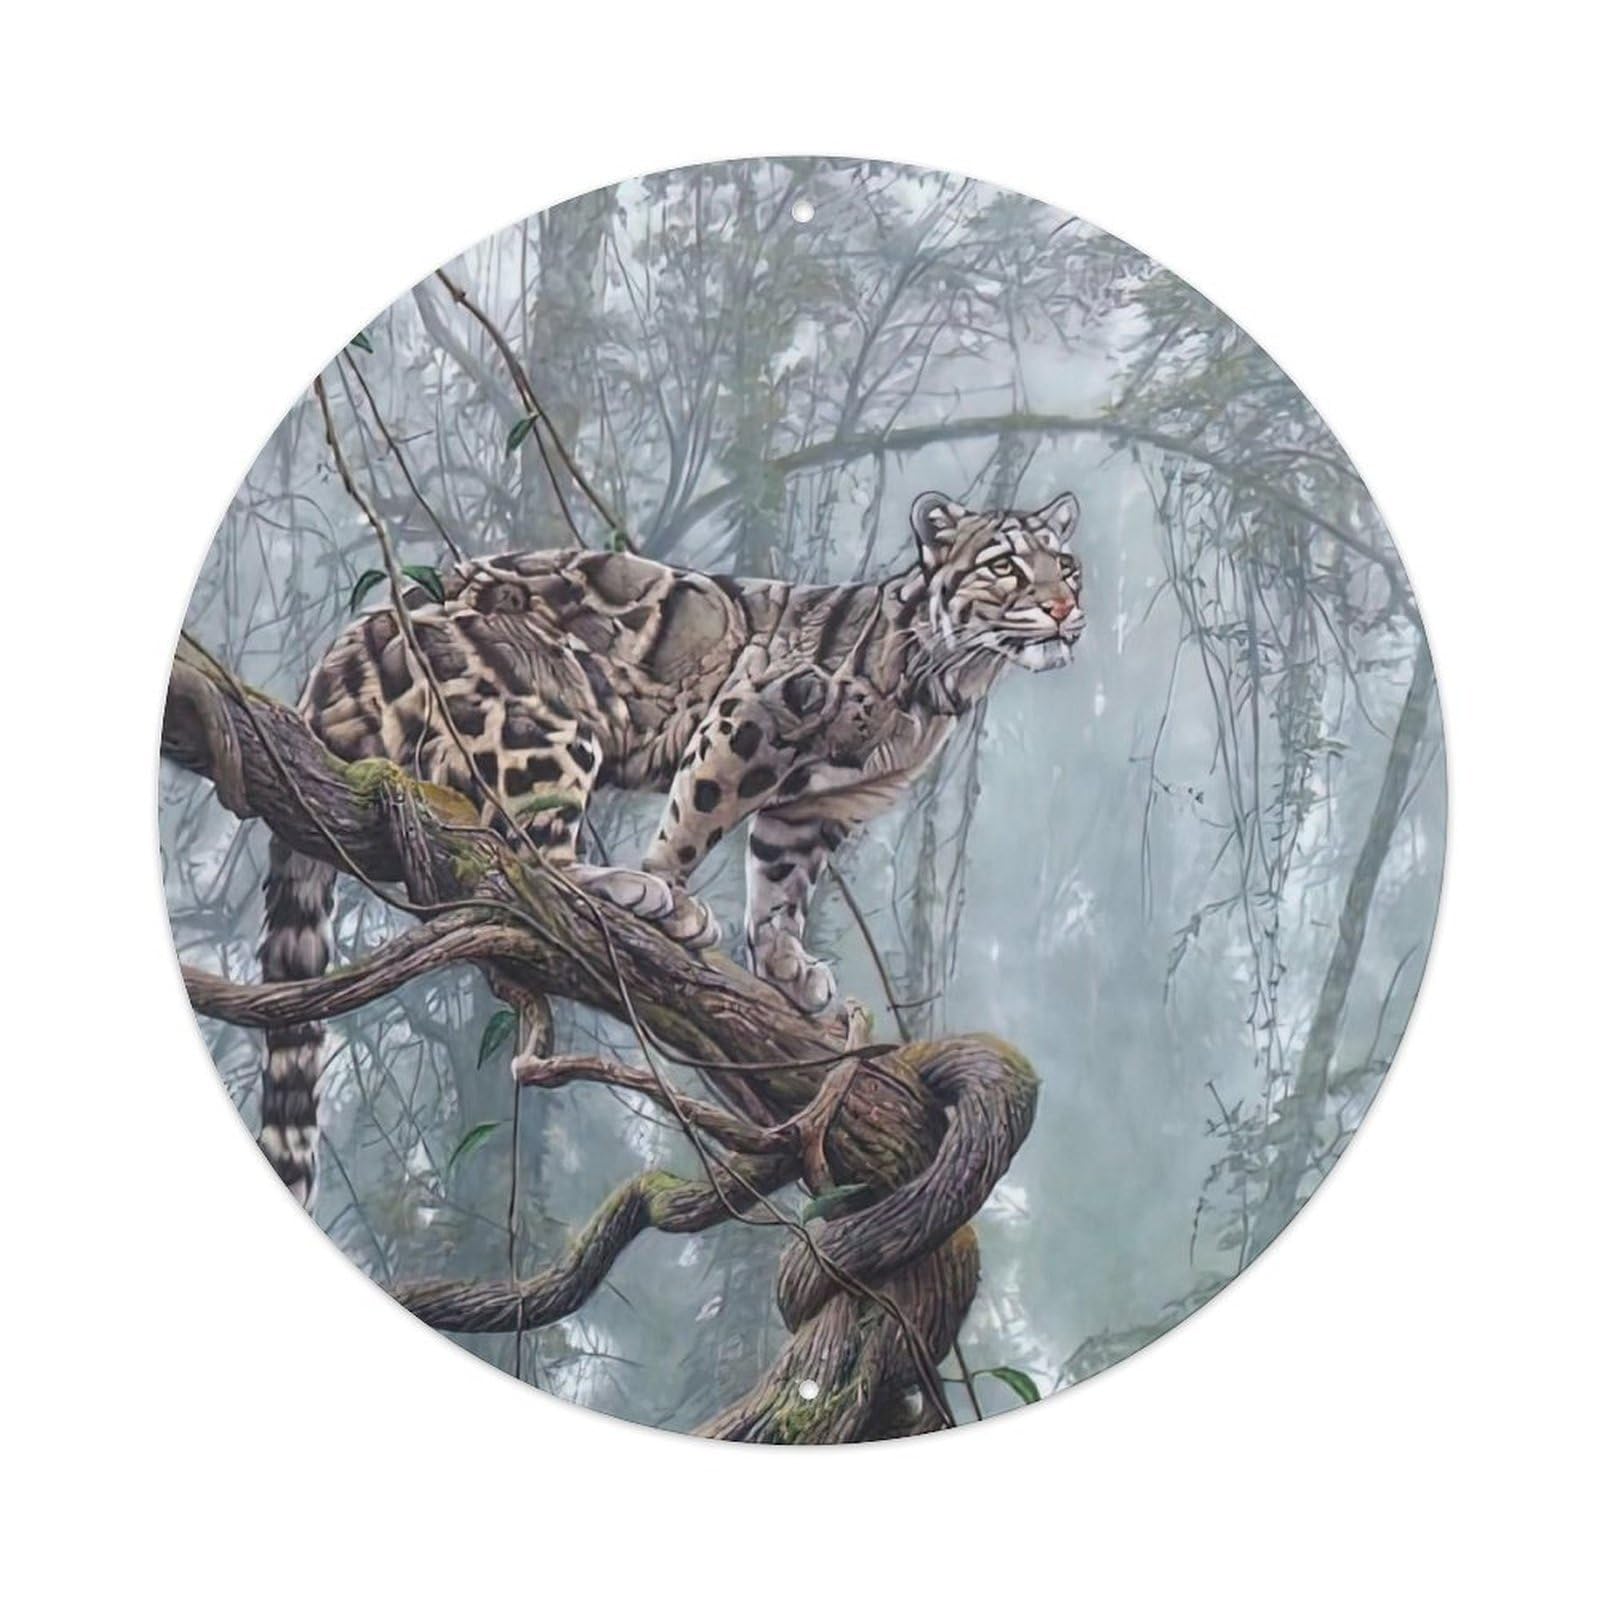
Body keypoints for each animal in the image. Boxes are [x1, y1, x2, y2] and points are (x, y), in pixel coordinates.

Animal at [257, 489, 1085, 1202]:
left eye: (1067, 566)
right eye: (1004, 564)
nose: (1064, 608)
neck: (947, 681)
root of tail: (340, 656)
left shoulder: (814, 806)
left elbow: (782, 885)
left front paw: (786, 968)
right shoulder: (758, 714)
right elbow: (697, 815)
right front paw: (673, 890)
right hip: (543, 717)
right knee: (522, 855)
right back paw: (633, 893)